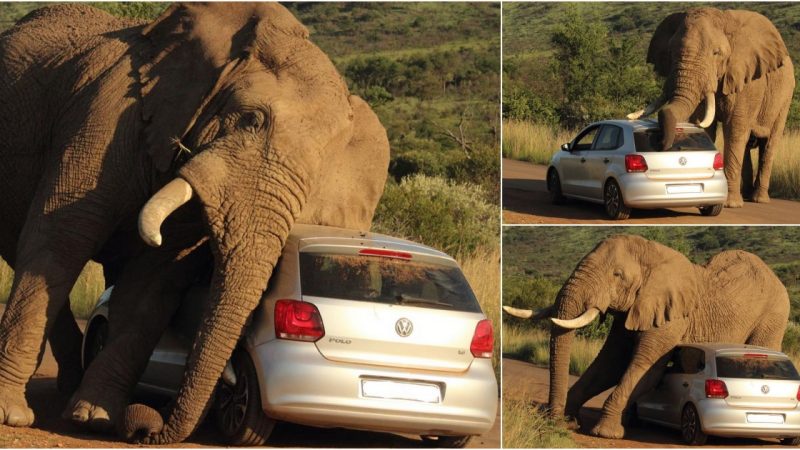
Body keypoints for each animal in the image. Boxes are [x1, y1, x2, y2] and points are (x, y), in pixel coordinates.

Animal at [0, 3, 390, 444]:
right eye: (251, 120)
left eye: (323, 165)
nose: (145, 428)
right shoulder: (105, 117)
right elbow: (61, 239)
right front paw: (12, 415)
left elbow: (153, 282)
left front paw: (95, 417)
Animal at [504, 236, 792, 440]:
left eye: (617, 275)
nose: (551, 422)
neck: (653, 255)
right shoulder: (633, 309)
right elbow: (610, 364)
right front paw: (569, 420)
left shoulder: (671, 318)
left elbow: (645, 369)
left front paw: (605, 433)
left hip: (773, 315)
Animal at [632, 7, 792, 207]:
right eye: (670, 52)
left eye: (716, 53)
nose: (660, 144)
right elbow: (706, 127)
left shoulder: (748, 83)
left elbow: (735, 130)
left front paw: (730, 204)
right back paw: (747, 196)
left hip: (784, 99)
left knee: (768, 144)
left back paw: (759, 199)